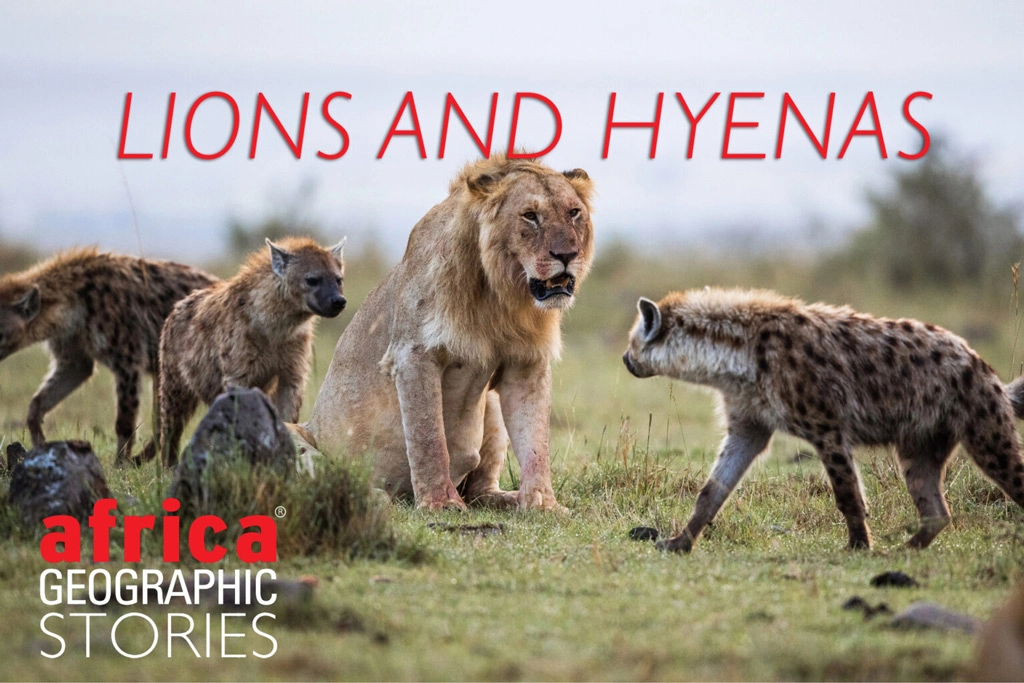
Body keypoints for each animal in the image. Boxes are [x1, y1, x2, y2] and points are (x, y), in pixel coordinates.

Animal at [299, 154, 594, 510]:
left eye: (573, 212)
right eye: (530, 215)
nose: (568, 255)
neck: (500, 294)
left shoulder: (526, 362)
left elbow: (536, 441)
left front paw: (542, 504)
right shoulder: (412, 354)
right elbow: (428, 437)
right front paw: (440, 502)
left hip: (490, 407)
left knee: (481, 491)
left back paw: (509, 499)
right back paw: (369, 494)